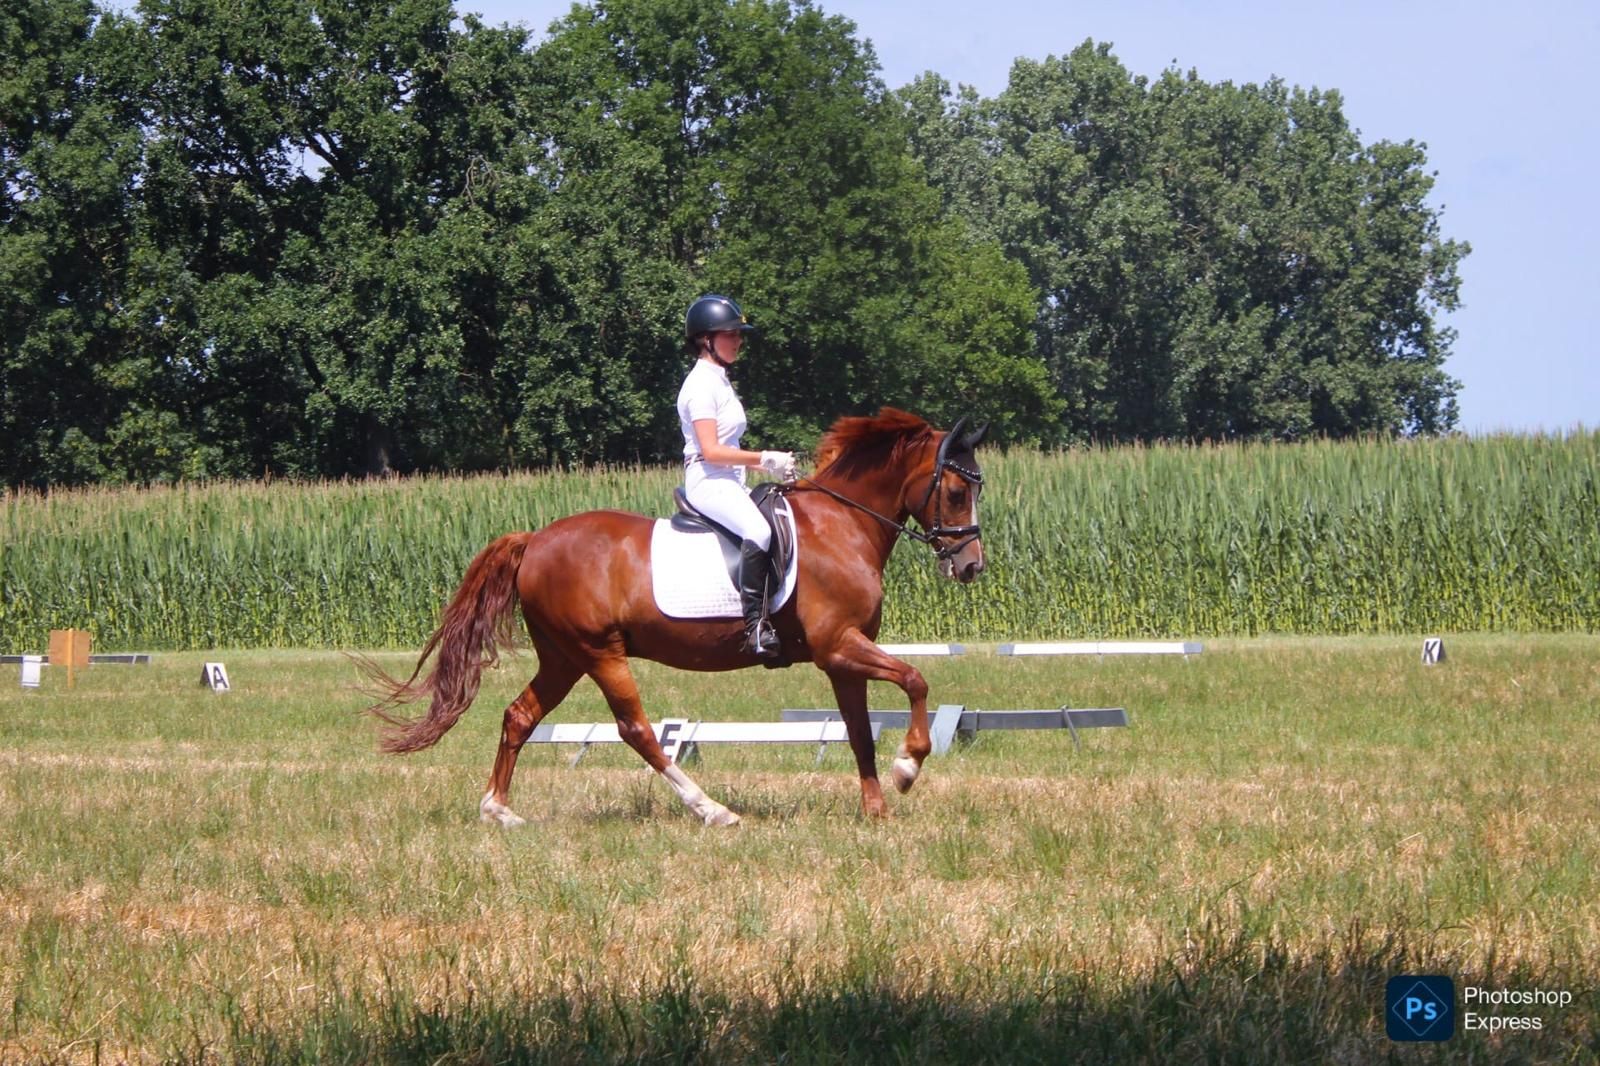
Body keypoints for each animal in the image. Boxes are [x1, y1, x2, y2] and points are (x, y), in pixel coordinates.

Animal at [362, 407, 988, 825]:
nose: (971, 566)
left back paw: (499, 810)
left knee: (520, 716)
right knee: (637, 730)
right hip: (599, 652)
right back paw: (711, 809)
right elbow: (915, 677)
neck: (841, 525)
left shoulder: (841, 657)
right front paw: (909, 766)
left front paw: (875, 807)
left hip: (563, 656)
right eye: (958, 491)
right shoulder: (839, 644)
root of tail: (535, 539)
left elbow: (859, 729)